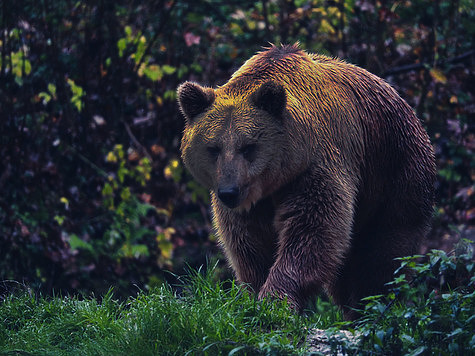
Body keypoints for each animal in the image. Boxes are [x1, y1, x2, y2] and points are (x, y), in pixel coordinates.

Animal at [178, 44, 436, 320]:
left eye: (248, 147)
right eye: (213, 148)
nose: (229, 192)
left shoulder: (316, 165)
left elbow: (313, 230)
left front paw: (276, 299)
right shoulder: (251, 203)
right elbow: (249, 244)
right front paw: (255, 293)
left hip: (395, 176)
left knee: (384, 255)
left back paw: (372, 307)